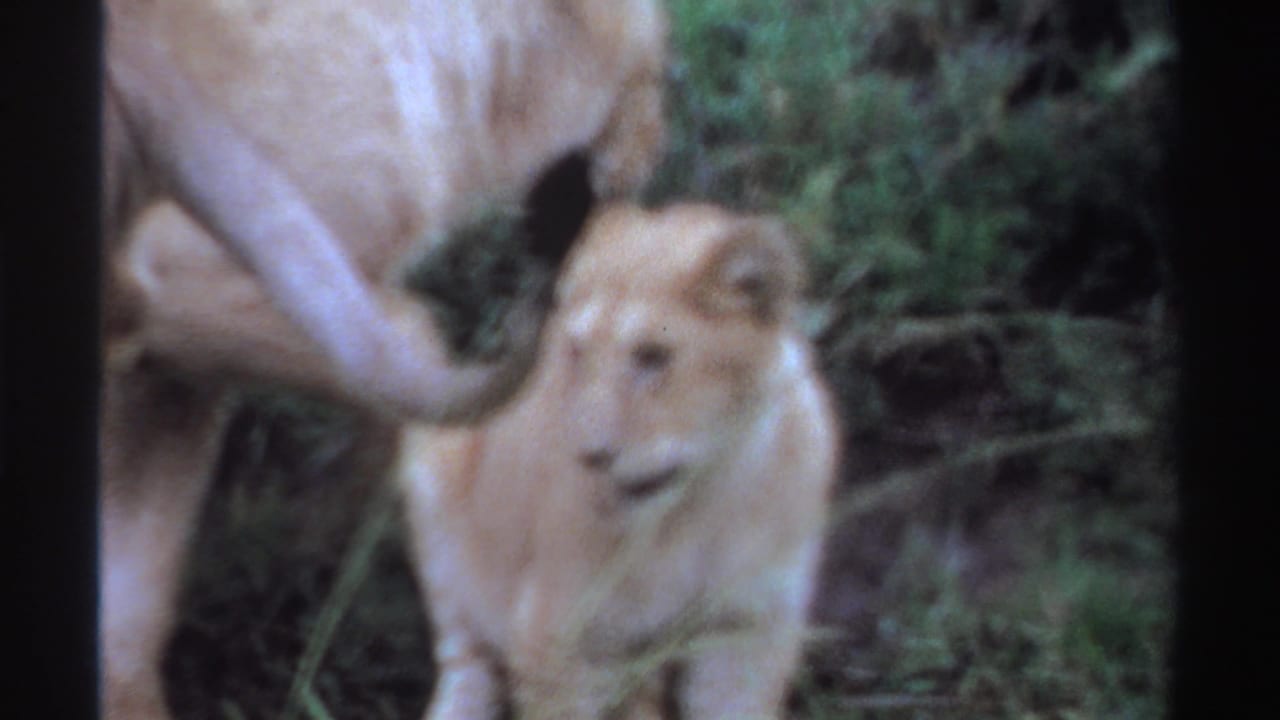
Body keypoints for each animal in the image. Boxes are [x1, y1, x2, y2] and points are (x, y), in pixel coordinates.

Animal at [395, 203, 841, 720]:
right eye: (577, 351)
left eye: (653, 357)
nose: (591, 455)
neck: (700, 503)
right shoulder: (554, 633)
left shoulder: (749, 631)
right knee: (465, 658)